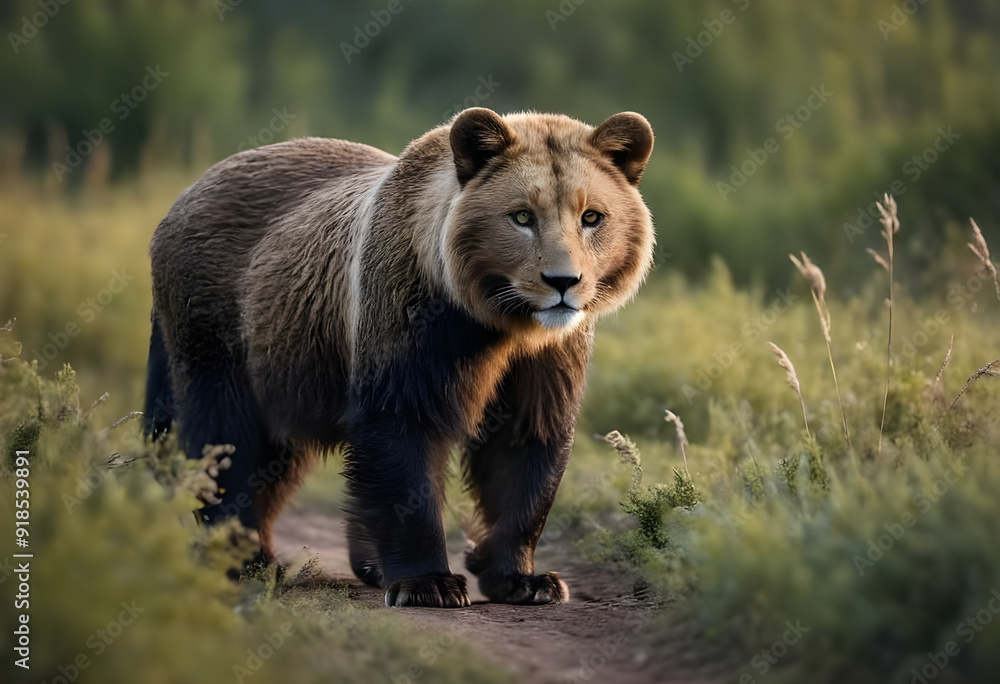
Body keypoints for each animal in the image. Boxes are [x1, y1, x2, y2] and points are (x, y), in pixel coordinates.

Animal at [144, 107, 655, 607]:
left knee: (277, 458)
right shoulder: (406, 322)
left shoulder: (544, 358)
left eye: (592, 215)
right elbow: (401, 433)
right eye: (522, 215)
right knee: (224, 435)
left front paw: (526, 579)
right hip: (221, 327)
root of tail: (184, 195)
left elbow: (526, 444)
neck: (495, 320)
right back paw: (248, 560)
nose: (563, 281)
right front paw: (429, 582)